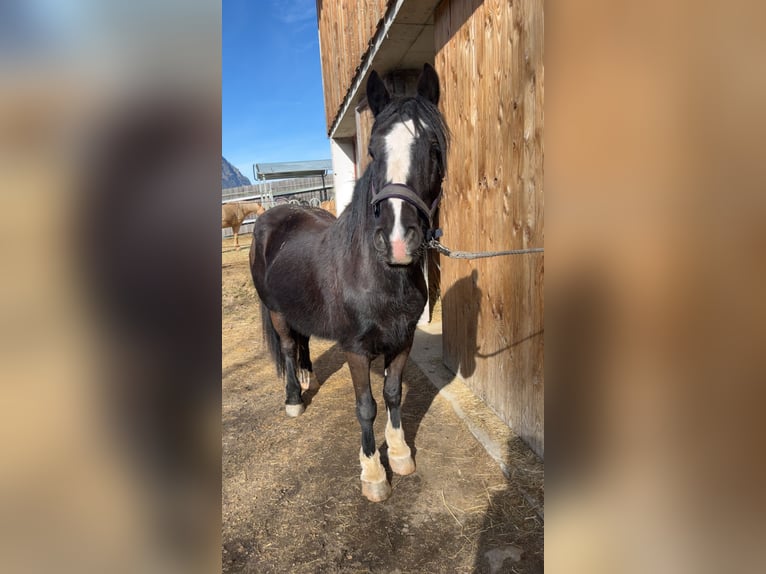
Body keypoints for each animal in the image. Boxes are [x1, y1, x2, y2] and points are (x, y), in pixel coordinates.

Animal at [249, 64, 448, 504]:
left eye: (433, 148)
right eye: (373, 152)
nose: (397, 241)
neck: (378, 275)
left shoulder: (403, 340)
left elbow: (392, 394)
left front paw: (401, 453)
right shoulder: (357, 351)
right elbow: (366, 406)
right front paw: (373, 473)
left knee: (302, 343)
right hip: (275, 310)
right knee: (287, 347)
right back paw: (294, 398)